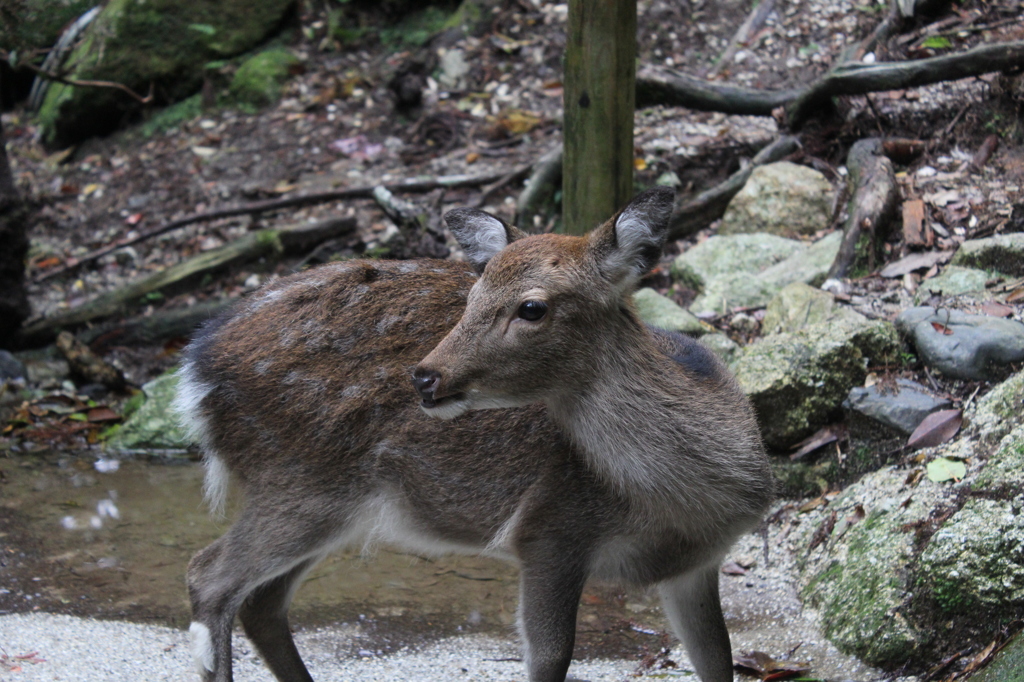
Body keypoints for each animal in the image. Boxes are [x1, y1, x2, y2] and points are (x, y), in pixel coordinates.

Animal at [176, 186, 770, 679]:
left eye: (532, 307)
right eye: (471, 297)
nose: (424, 375)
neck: (678, 509)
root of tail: (194, 367)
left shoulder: (698, 564)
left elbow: (720, 660)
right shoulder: (550, 529)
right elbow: (551, 657)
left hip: (329, 501)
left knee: (262, 602)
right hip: (298, 478)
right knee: (210, 578)